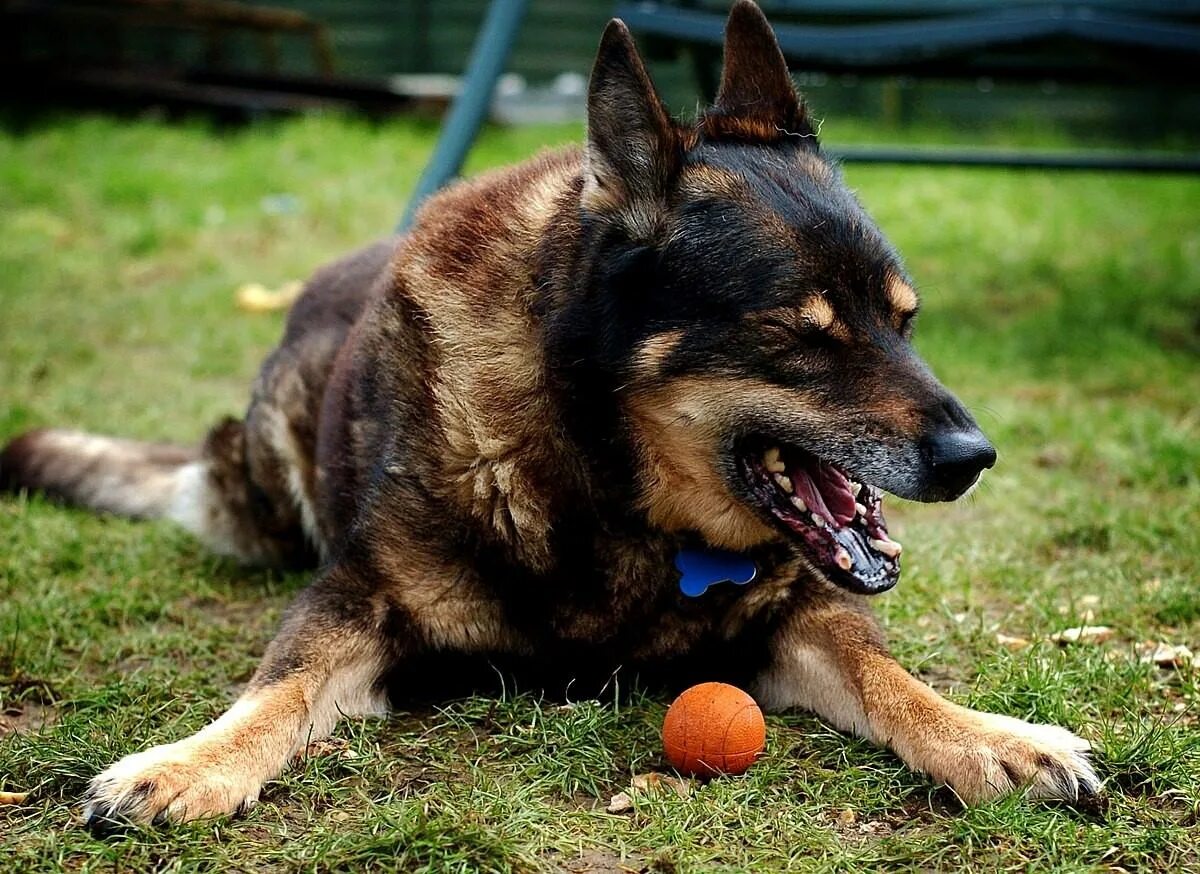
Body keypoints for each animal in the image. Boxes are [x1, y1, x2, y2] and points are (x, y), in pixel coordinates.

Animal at [0, 1, 1099, 830]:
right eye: (800, 334)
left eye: (905, 321)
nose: (973, 456)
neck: (605, 476)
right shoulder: (350, 600)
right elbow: (276, 686)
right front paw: (186, 764)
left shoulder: (803, 615)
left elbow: (889, 677)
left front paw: (994, 739)